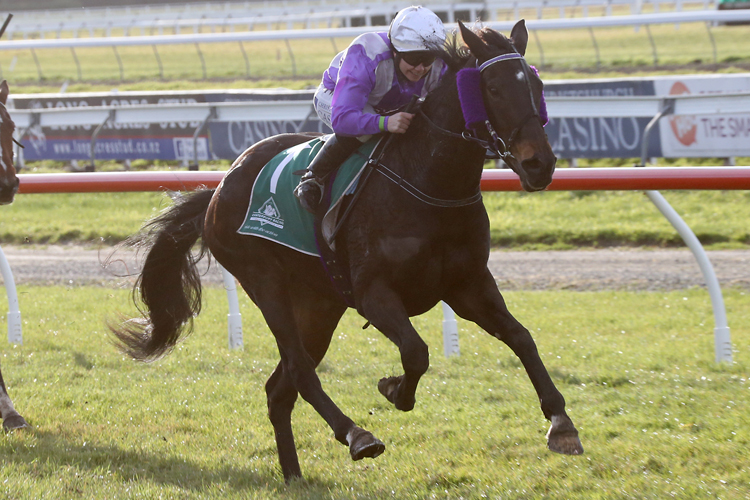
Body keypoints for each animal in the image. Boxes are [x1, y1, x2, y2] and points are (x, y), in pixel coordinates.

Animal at [111, 20, 584, 480]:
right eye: (495, 88)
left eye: (536, 86)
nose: (541, 164)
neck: (431, 183)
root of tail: (219, 188)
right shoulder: (374, 293)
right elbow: (416, 352)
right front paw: (394, 389)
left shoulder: (468, 285)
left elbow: (521, 338)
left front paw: (561, 423)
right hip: (265, 283)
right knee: (300, 371)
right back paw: (356, 434)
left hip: (319, 305)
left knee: (279, 389)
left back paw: (294, 476)